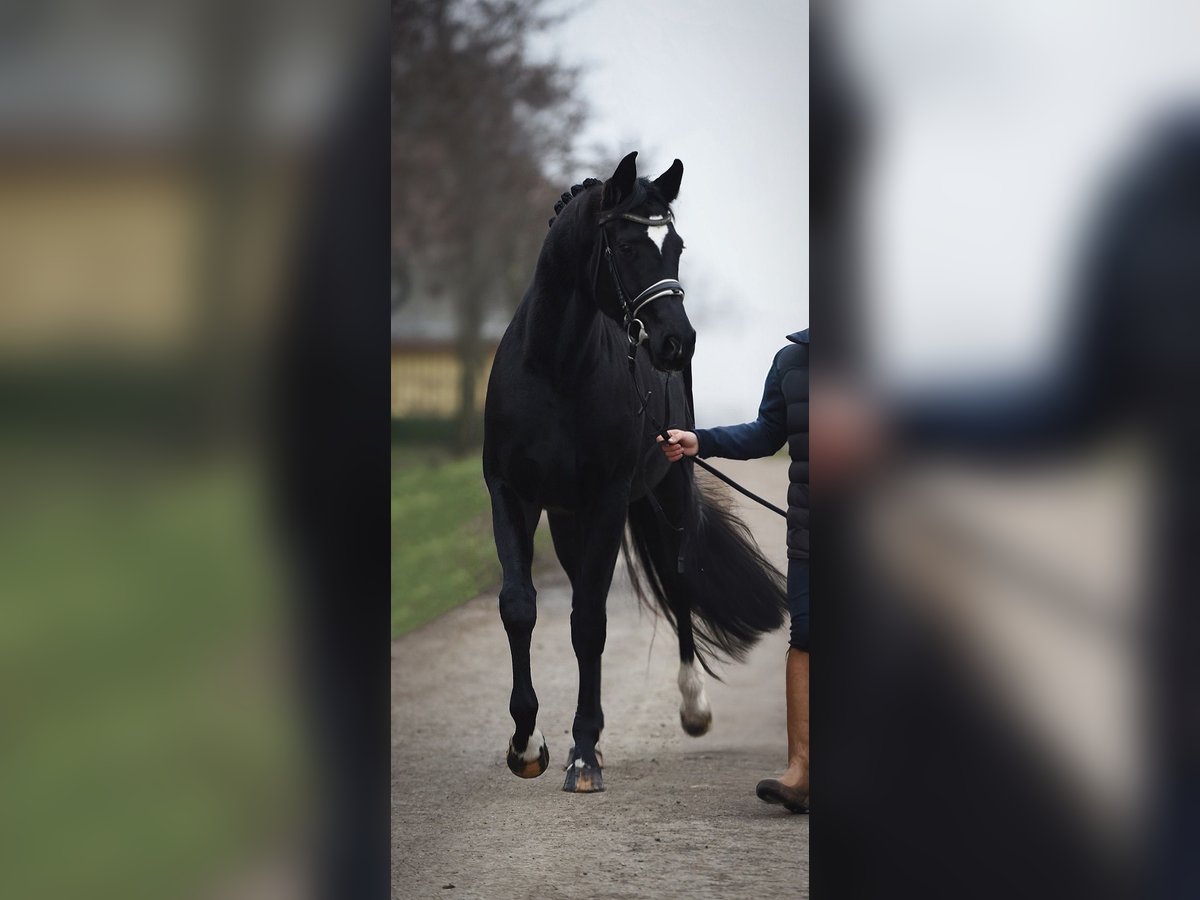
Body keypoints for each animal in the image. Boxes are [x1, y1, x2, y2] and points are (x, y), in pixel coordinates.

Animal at [480, 151, 787, 792]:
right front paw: (528, 745)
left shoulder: (608, 498)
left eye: (676, 245)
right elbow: (521, 607)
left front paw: (582, 756)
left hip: (667, 490)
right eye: (624, 244)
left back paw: (692, 707)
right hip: (569, 520)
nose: (678, 341)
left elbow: (591, 623)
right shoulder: (511, 494)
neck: (553, 369)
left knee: (678, 580)